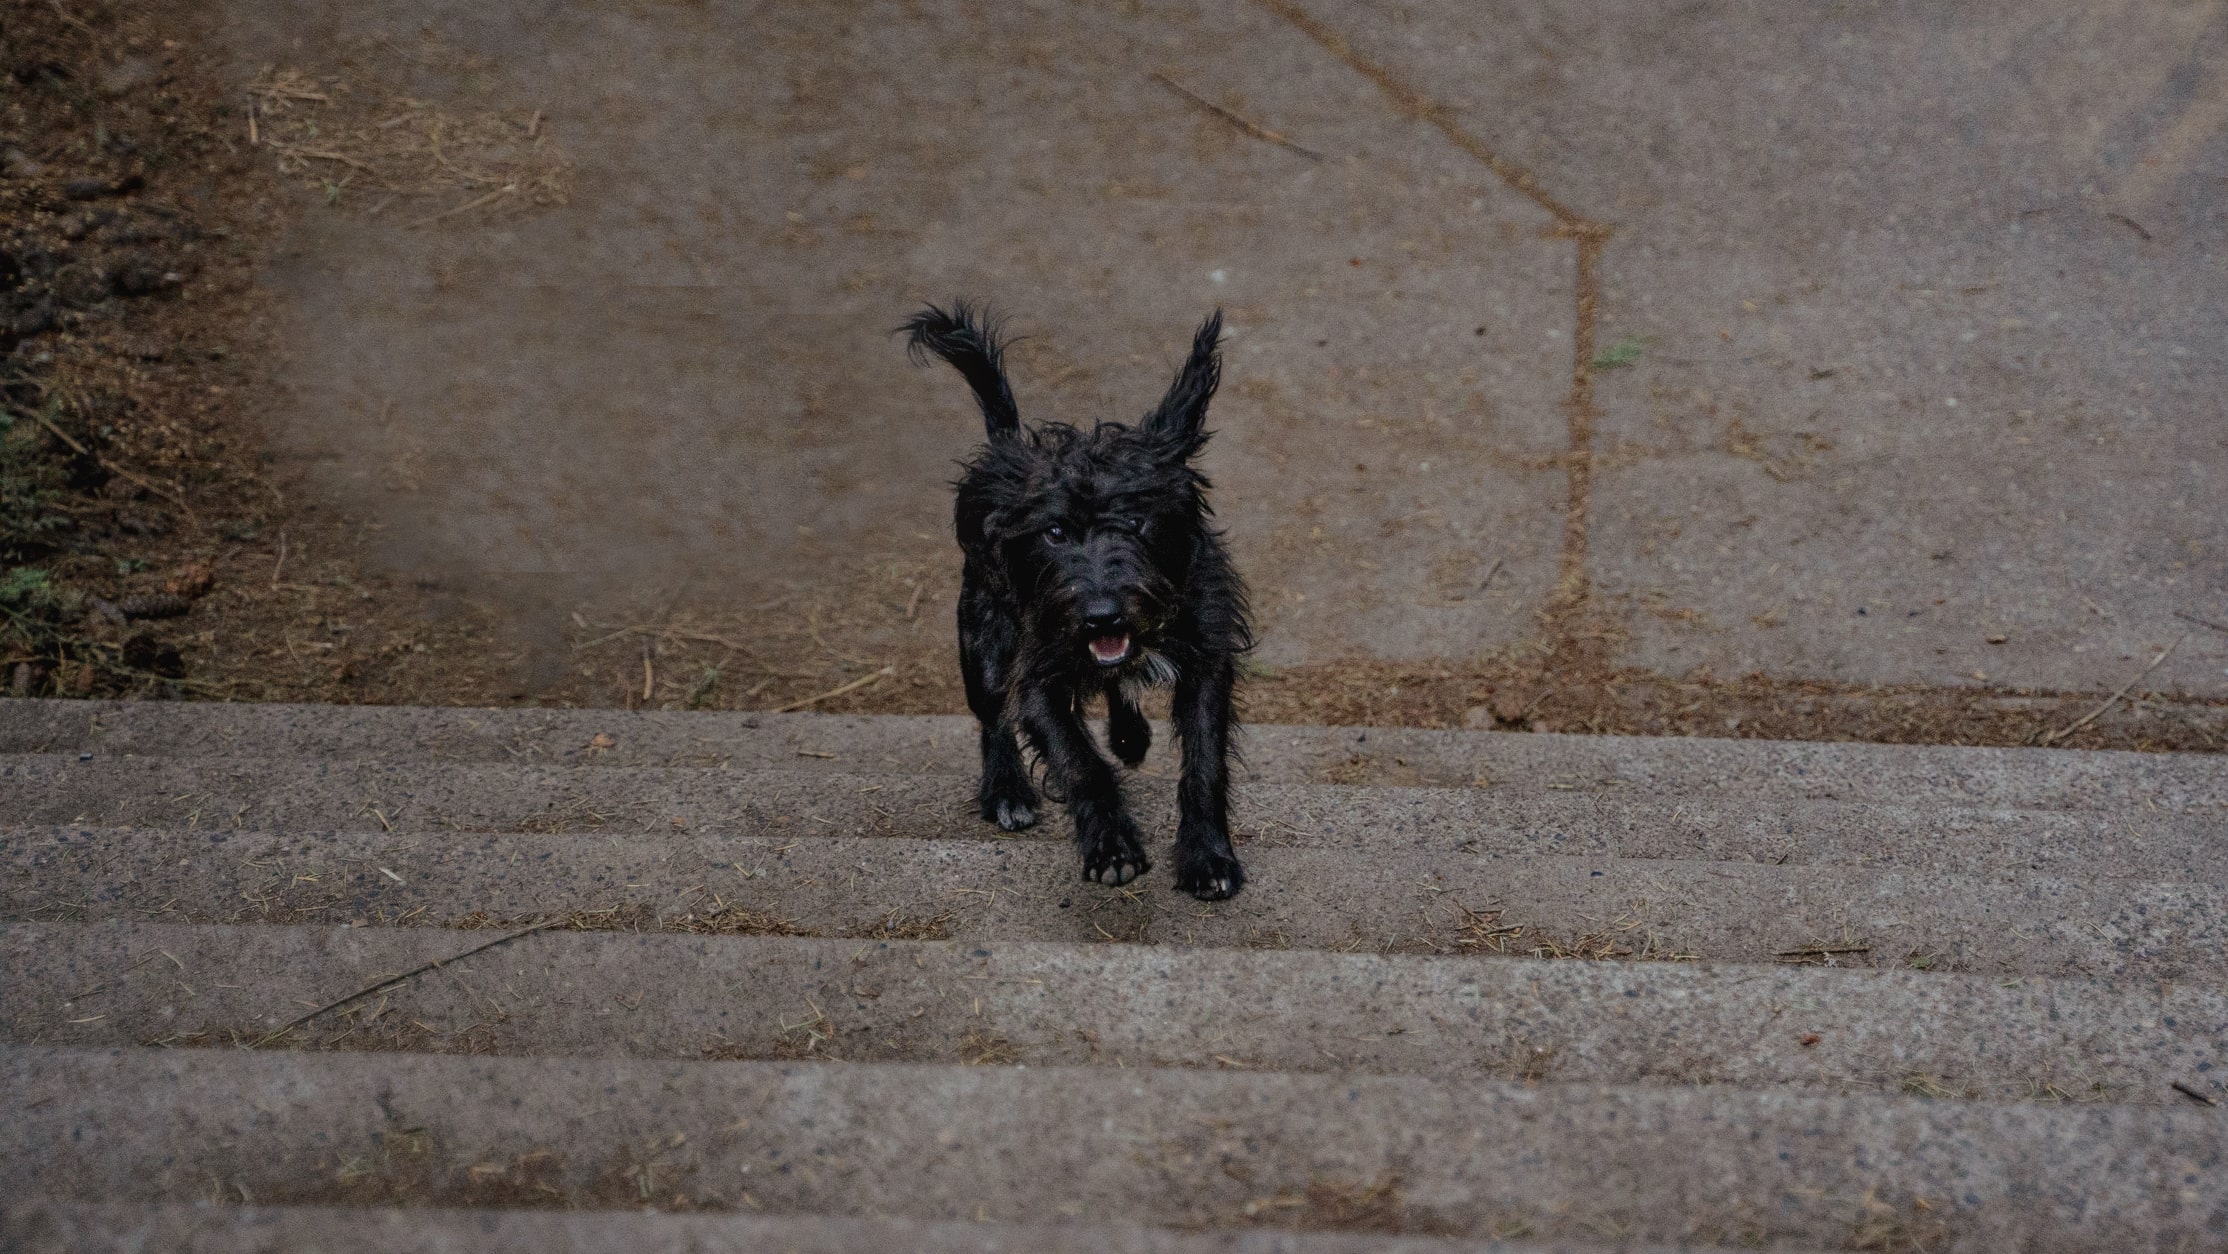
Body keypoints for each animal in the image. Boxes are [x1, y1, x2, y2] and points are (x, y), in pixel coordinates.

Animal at [904, 305, 1256, 904]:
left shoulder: (1207, 660)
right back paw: (1007, 790)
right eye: (1054, 532)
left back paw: (1130, 734)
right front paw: (1111, 847)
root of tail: (1007, 449)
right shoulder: (1037, 673)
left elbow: (1204, 761)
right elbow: (1078, 759)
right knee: (993, 719)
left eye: (1136, 521)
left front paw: (1207, 854)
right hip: (985, 642)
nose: (1101, 615)